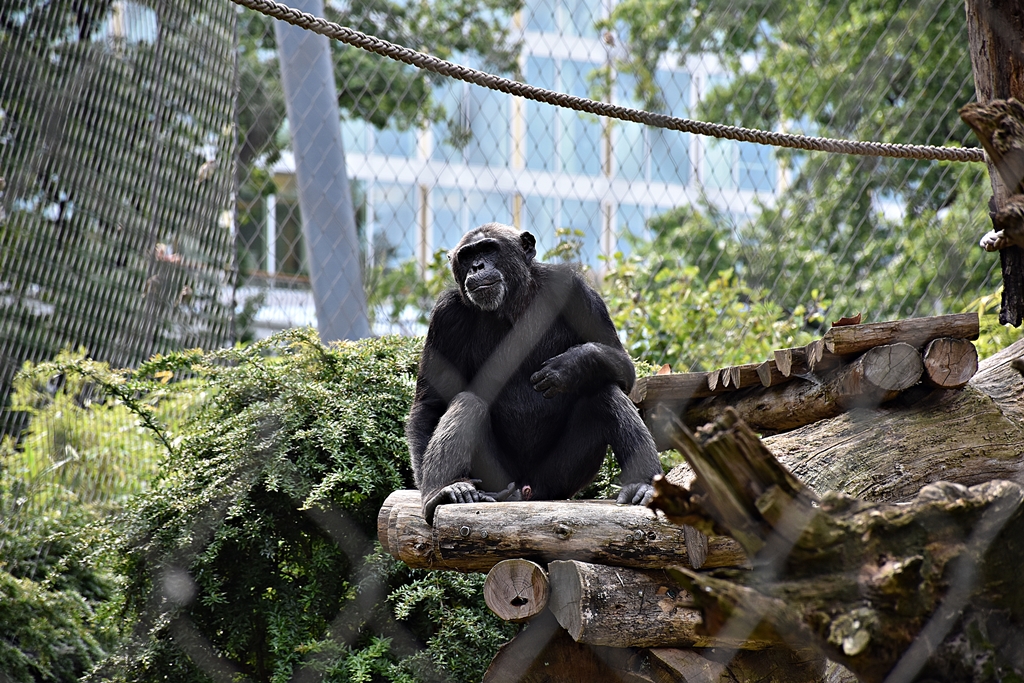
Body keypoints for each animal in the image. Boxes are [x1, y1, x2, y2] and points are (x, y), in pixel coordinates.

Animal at [405, 222, 663, 523]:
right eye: (467, 256)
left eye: (488, 249)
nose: (477, 266)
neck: (511, 303)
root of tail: (525, 490)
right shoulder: (445, 315)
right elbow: (430, 404)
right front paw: (432, 491)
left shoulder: (575, 291)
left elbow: (623, 367)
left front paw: (569, 366)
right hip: (496, 478)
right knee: (468, 403)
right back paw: (444, 491)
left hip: (558, 479)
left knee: (605, 392)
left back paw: (642, 485)